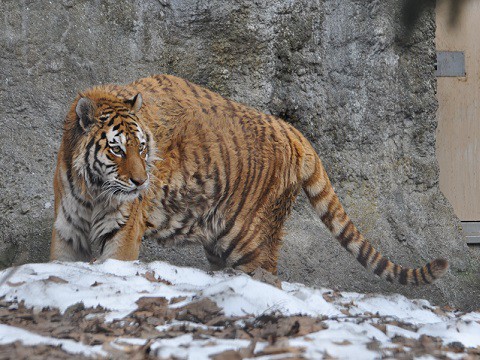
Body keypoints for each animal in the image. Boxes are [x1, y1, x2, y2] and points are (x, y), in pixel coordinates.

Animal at [50, 74, 448, 286]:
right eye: (117, 150)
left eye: (143, 148)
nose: (139, 183)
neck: (92, 190)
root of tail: (292, 130)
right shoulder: (67, 230)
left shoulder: (122, 234)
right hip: (220, 242)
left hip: (249, 238)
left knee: (269, 275)